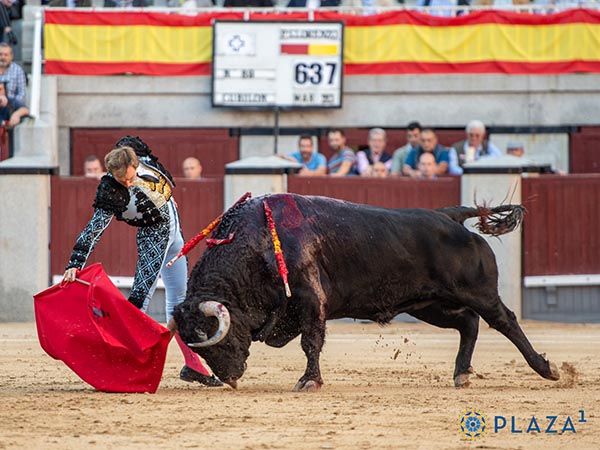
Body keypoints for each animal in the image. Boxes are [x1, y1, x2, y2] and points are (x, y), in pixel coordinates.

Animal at [171, 193, 560, 390]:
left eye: (212, 338)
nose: (230, 379)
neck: (257, 243)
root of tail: (449, 215)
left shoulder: (311, 299)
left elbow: (311, 341)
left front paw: (310, 381)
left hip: (477, 291)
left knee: (504, 321)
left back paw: (547, 369)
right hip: (429, 304)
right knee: (468, 324)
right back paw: (461, 374)